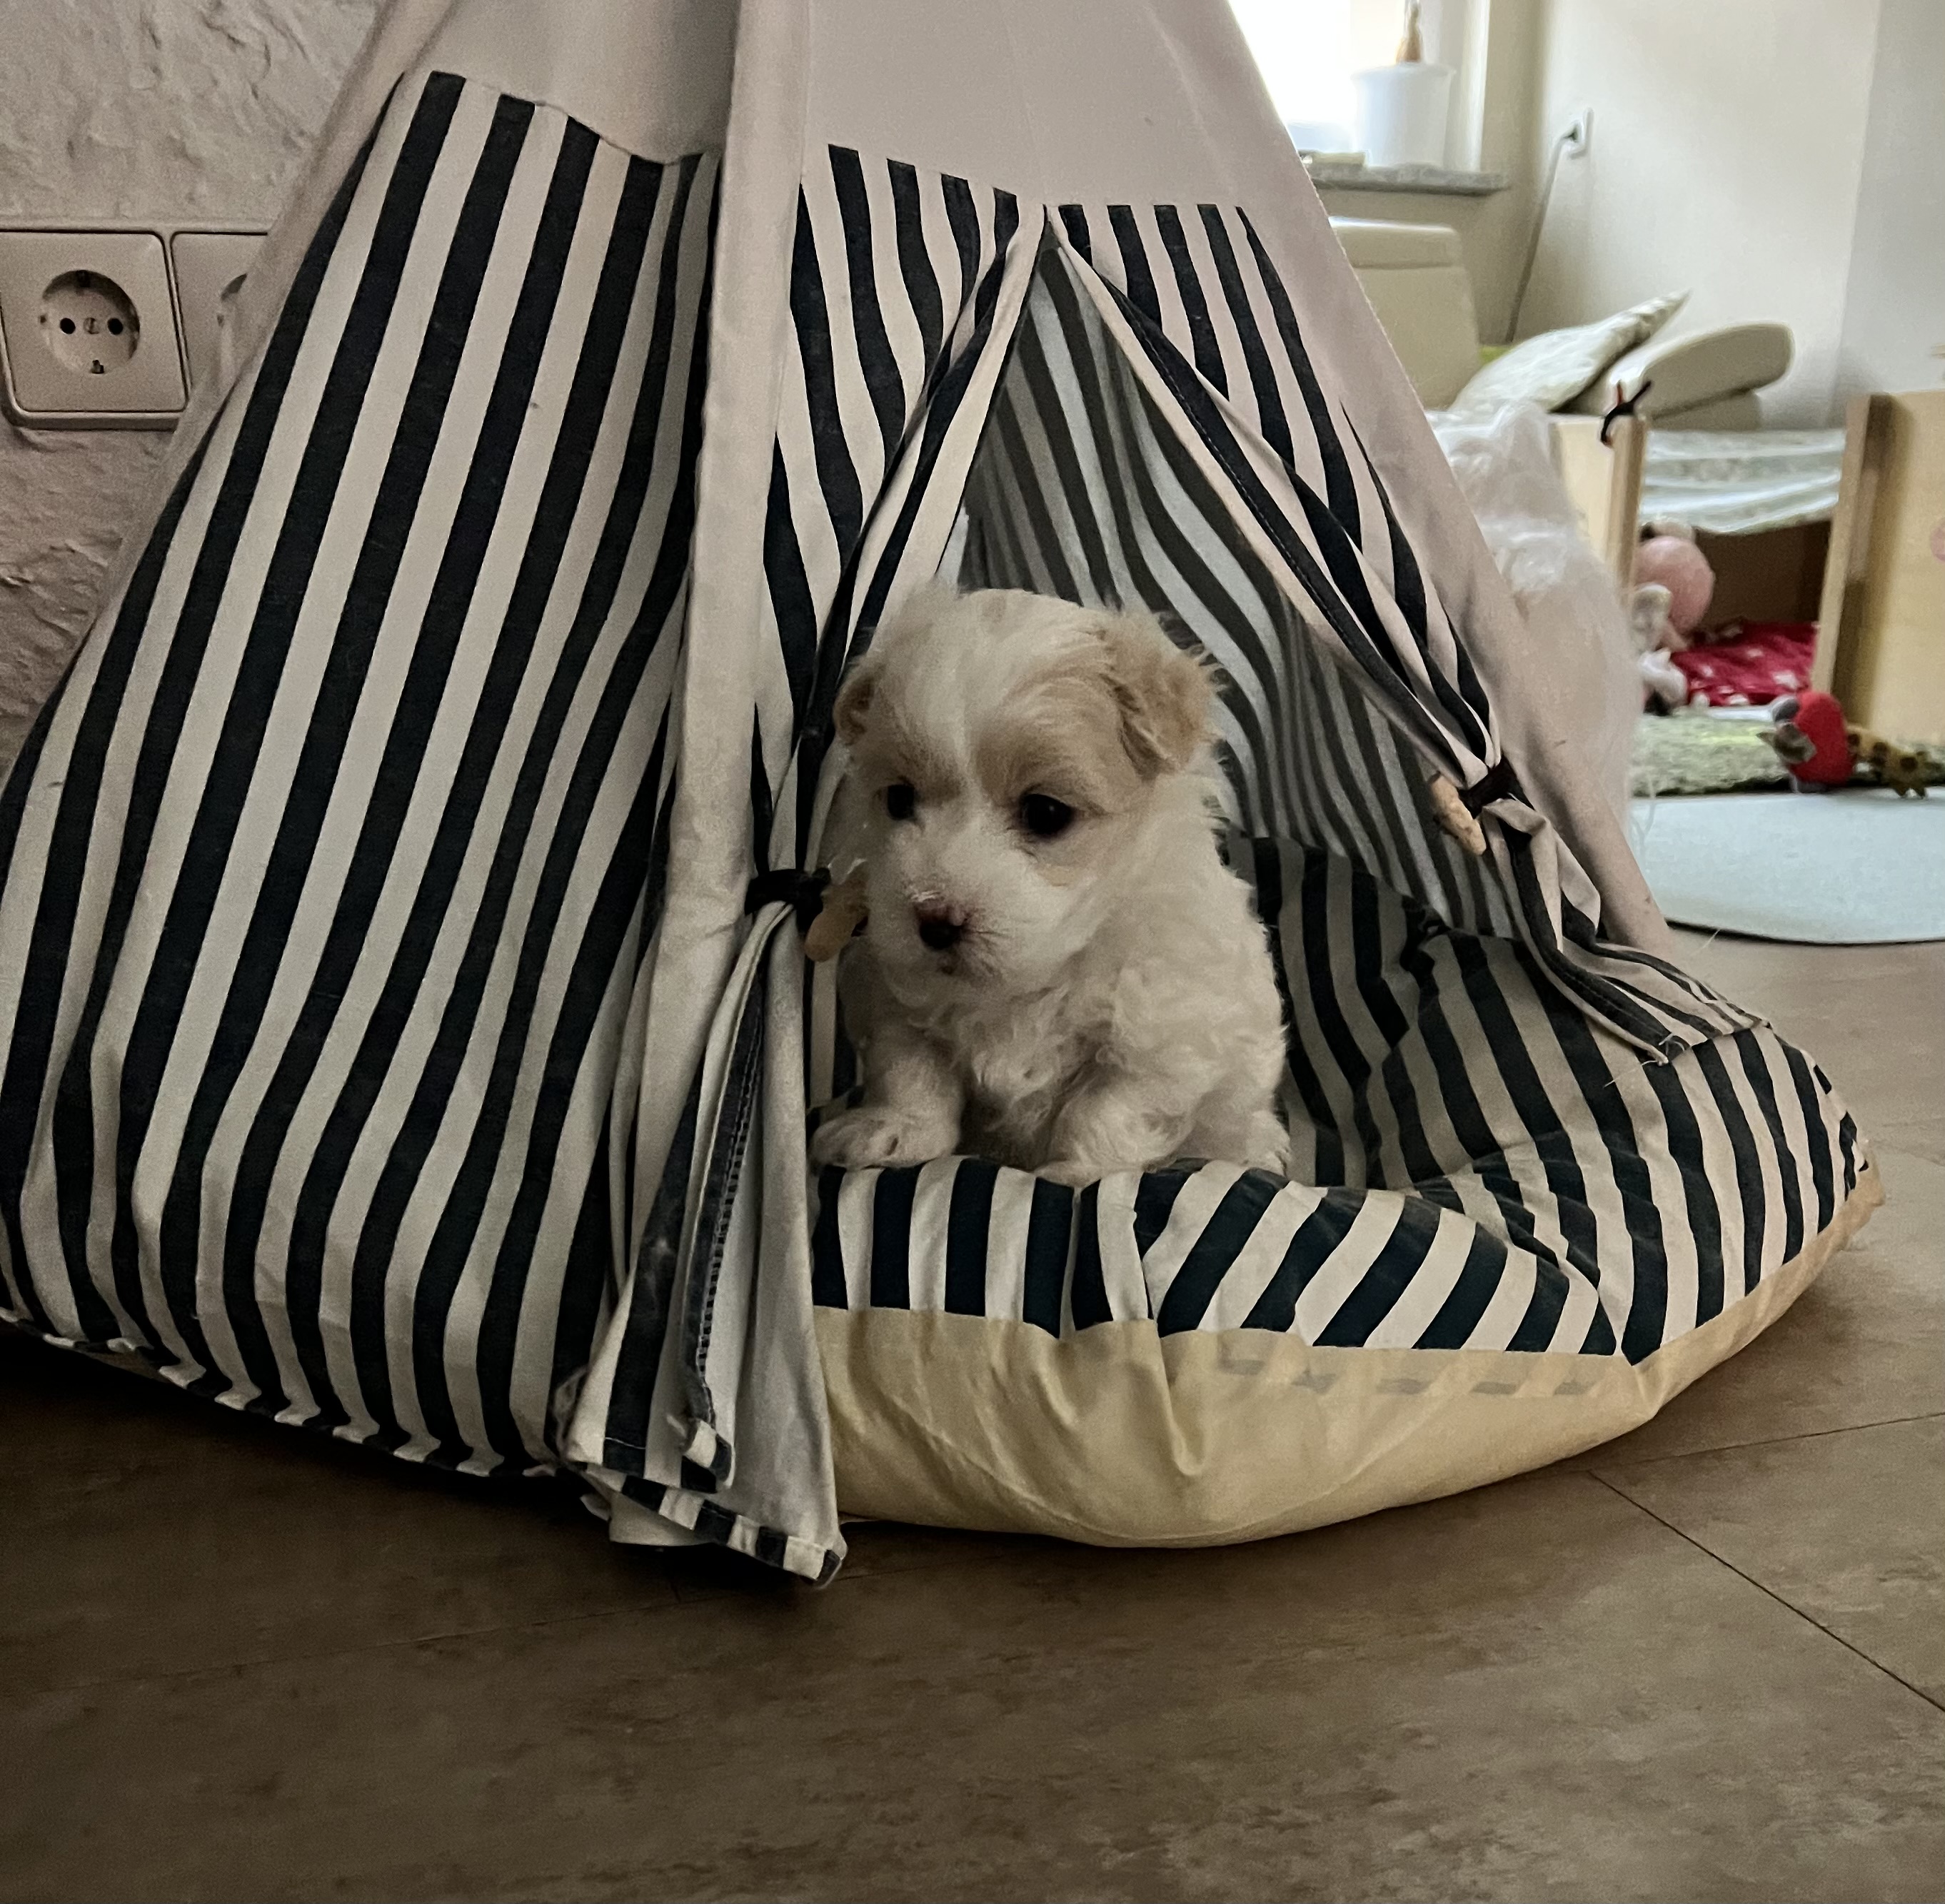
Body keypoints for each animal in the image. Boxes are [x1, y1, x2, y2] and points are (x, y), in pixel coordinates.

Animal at [809, 584, 1290, 1186]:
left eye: (1045, 813)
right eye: (899, 799)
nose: (936, 919)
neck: (1034, 975)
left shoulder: (1163, 1034)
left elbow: (1106, 1108)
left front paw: (1076, 1170)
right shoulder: (897, 997)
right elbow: (914, 1072)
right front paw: (895, 1131)